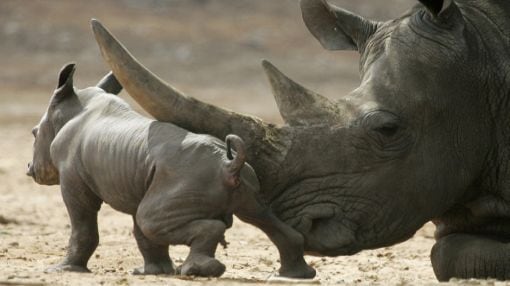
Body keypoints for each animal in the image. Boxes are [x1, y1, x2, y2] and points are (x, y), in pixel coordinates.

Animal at [27, 63, 316, 278]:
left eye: (33, 133)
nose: (30, 169)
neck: (72, 109)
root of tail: (227, 164)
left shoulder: (73, 179)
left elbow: (84, 222)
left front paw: (62, 270)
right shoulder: (143, 179)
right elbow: (141, 234)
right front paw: (152, 272)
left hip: (192, 178)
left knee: (150, 219)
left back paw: (198, 272)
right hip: (245, 180)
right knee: (259, 214)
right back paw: (294, 275)